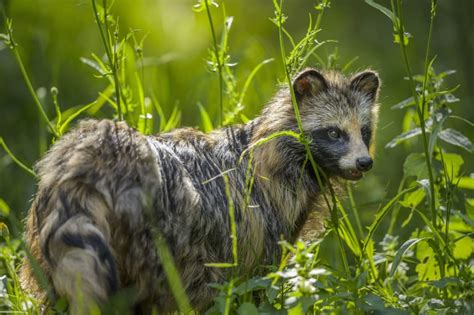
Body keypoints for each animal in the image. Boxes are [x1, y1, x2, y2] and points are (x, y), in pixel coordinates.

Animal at [21, 68, 382, 312]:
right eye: (334, 133)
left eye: (364, 131)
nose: (365, 162)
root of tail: (96, 151)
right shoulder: (258, 225)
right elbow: (253, 289)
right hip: (153, 237)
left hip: (50, 236)